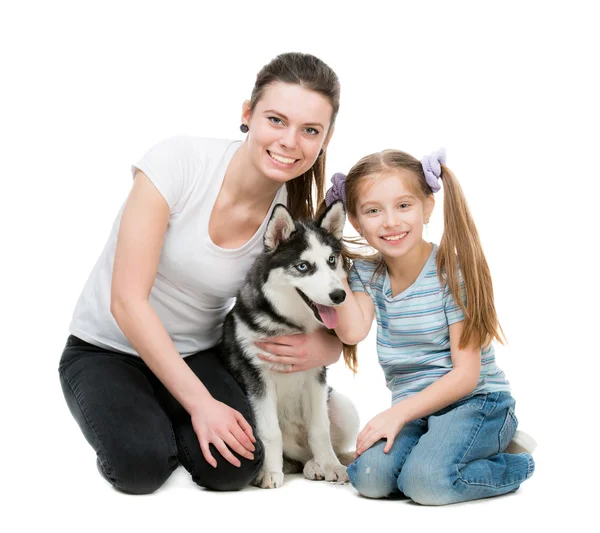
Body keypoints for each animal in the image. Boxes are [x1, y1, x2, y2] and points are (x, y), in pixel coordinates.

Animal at [220, 198, 360, 486]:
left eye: (331, 260)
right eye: (303, 266)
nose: (339, 296)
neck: (290, 324)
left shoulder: (316, 377)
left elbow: (320, 429)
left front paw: (331, 465)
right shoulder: (257, 380)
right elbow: (269, 431)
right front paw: (269, 472)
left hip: (342, 406)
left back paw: (320, 464)